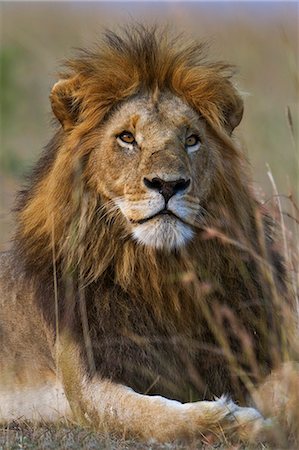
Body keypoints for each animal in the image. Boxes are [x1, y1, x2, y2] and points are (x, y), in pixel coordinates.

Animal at [0, 25, 296, 442]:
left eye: (191, 139)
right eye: (127, 138)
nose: (168, 184)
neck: (156, 276)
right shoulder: (86, 387)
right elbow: (154, 417)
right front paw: (229, 419)